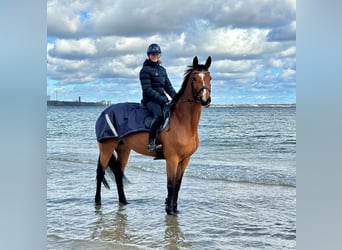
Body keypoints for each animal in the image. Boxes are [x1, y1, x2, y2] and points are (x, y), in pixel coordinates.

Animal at [95, 56, 211, 215]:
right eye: (194, 78)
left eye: (210, 78)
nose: (205, 99)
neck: (182, 121)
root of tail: (105, 111)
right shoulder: (172, 159)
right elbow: (171, 185)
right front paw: (169, 210)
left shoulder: (185, 160)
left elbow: (178, 185)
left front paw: (175, 209)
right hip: (106, 147)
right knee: (100, 173)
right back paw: (98, 202)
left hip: (123, 149)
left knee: (119, 174)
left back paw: (124, 201)